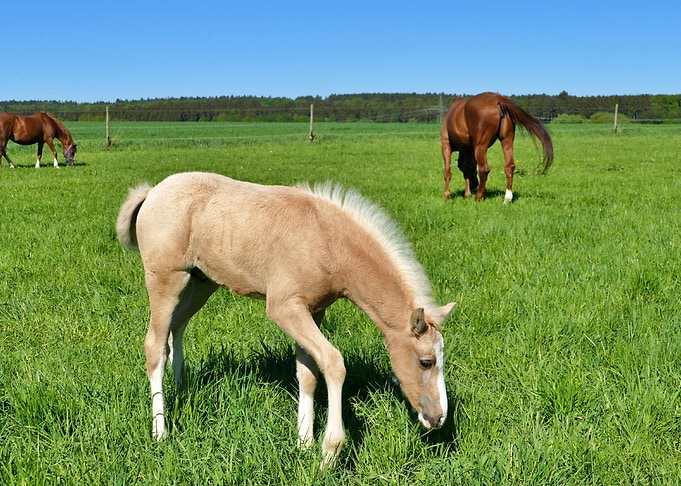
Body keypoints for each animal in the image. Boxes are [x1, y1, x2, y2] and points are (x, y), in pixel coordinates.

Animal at [116, 172, 456, 467]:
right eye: (426, 362)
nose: (438, 418)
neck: (327, 242)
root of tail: (152, 192)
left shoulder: (313, 311)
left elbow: (307, 374)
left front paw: (304, 442)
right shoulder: (284, 308)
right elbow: (333, 362)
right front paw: (329, 451)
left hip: (201, 282)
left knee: (177, 328)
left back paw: (183, 388)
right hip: (165, 279)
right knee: (156, 346)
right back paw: (160, 432)